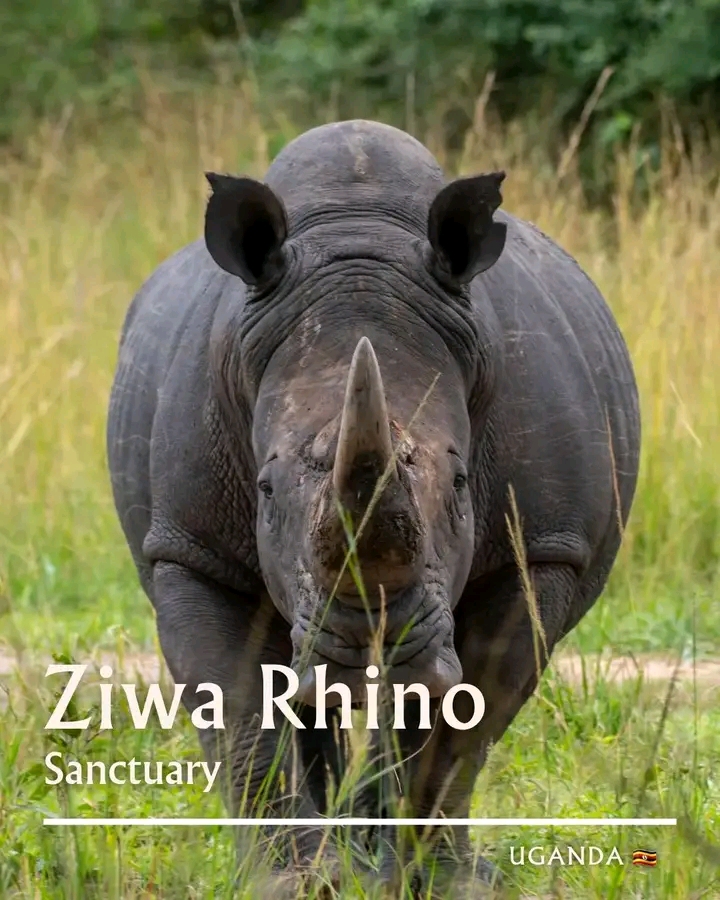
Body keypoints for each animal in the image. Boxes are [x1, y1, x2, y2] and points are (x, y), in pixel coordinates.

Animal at [107, 119, 640, 894]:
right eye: (265, 491)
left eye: (460, 485)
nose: (370, 643)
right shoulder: (190, 546)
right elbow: (240, 709)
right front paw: (296, 883)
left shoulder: (538, 548)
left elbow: (466, 718)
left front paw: (438, 882)